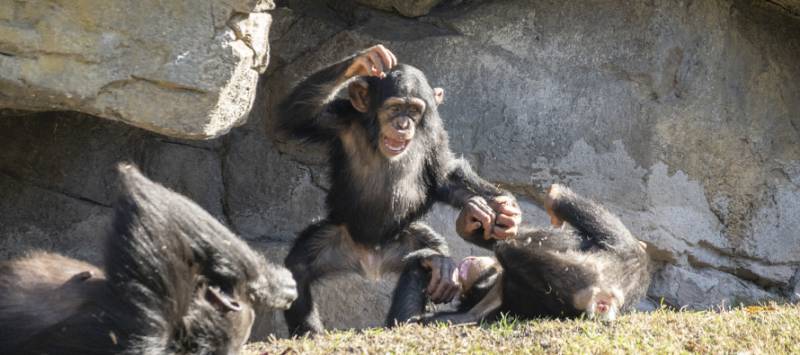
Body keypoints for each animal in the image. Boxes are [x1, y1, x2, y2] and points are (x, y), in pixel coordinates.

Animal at [278, 45, 520, 336]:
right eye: (395, 108)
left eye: (414, 110)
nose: (404, 123)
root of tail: (370, 262)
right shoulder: (338, 120)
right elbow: (298, 115)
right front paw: (365, 60)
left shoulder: (435, 134)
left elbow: (445, 176)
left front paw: (505, 210)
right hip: (336, 238)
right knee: (298, 269)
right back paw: (309, 332)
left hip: (405, 241)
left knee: (428, 256)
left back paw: (436, 266)